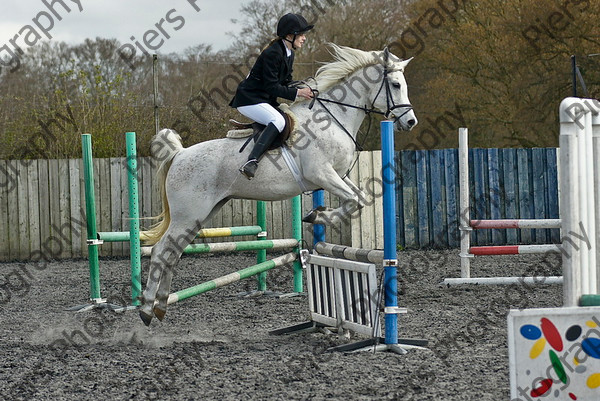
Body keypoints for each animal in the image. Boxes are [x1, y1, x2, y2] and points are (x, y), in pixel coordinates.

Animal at [140, 43, 418, 324]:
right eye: (395, 84)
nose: (410, 122)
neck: (334, 118)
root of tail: (179, 154)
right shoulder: (321, 174)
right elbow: (354, 200)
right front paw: (317, 216)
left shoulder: (338, 175)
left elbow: (359, 198)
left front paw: (318, 213)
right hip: (188, 215)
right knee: (160, 251)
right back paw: (146, 309)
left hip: (200, 216)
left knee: (172, 253)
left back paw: (161, 305)